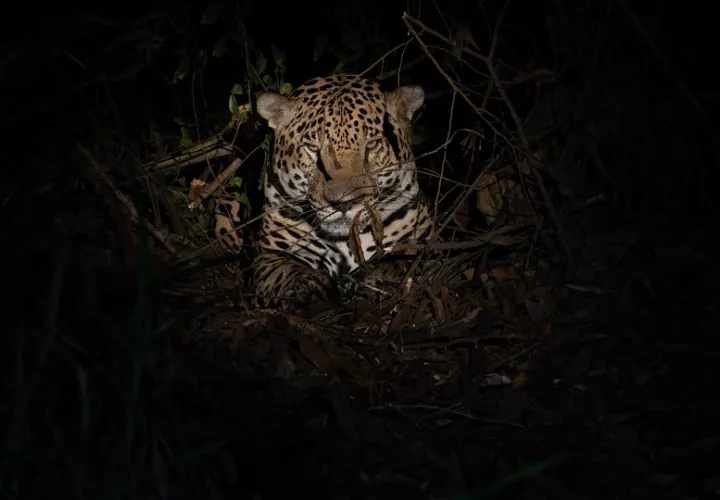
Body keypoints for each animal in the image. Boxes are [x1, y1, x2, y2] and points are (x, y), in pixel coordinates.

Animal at [241, 74, 433, 310]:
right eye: (313, 149)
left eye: (372, 145)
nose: (343, 203)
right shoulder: (269, 255)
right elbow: (284, 271)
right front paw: (310, 287)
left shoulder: (425, 243)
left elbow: (401, 262)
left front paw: (370, 279)